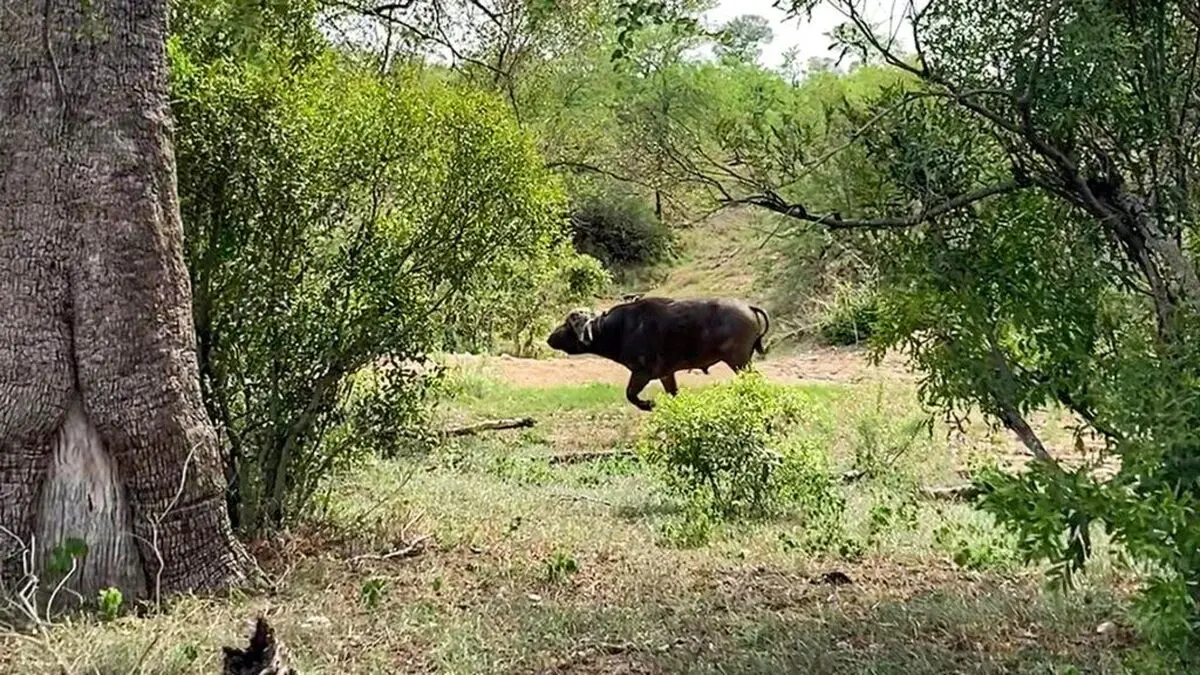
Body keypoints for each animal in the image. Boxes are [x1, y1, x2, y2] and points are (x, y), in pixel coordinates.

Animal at [546, 296, 770, 411]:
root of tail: (748, 307)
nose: (550, 338)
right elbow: (674, 395)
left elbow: (630, 394)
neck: (620, 329)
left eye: (568, 325)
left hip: (739, 361)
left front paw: (648, 404)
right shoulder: (666, 375)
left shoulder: (642, 373)